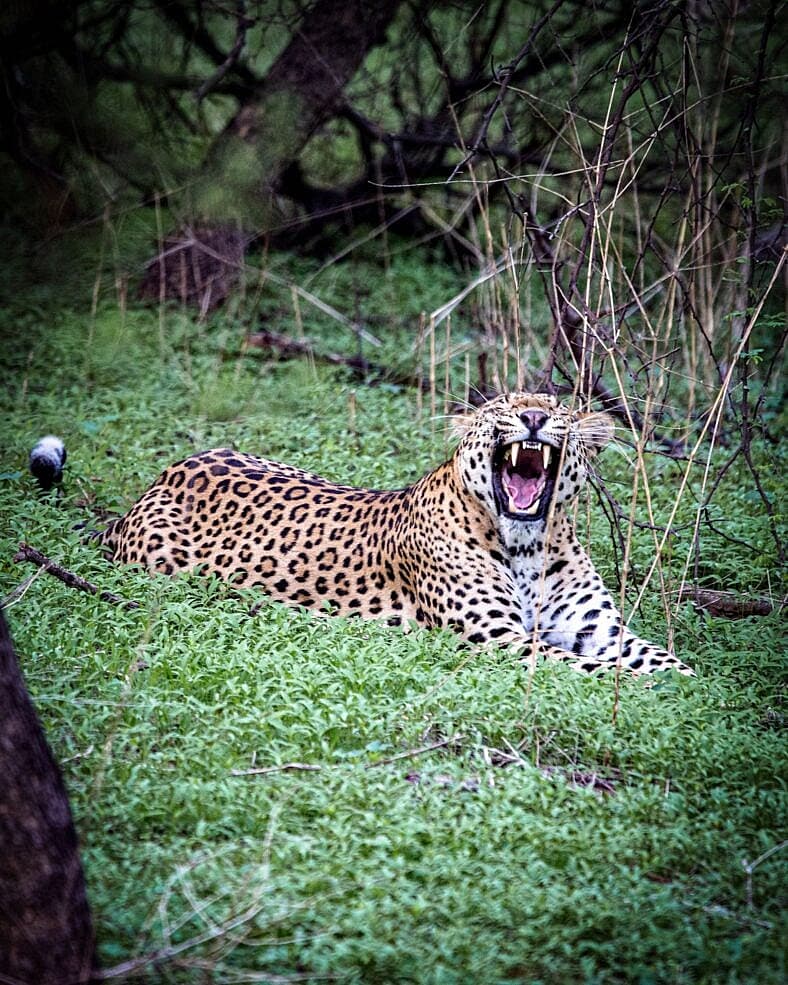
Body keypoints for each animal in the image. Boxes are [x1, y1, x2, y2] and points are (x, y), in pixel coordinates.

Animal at [96, 392, 693, 676]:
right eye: (504, 404)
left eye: (559, 408)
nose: (532, 417)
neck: (528, 546)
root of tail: (163, 475)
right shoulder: (495, 640)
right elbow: (588, 667)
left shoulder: (602, 631)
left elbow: (664, 660)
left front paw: (703, 696)